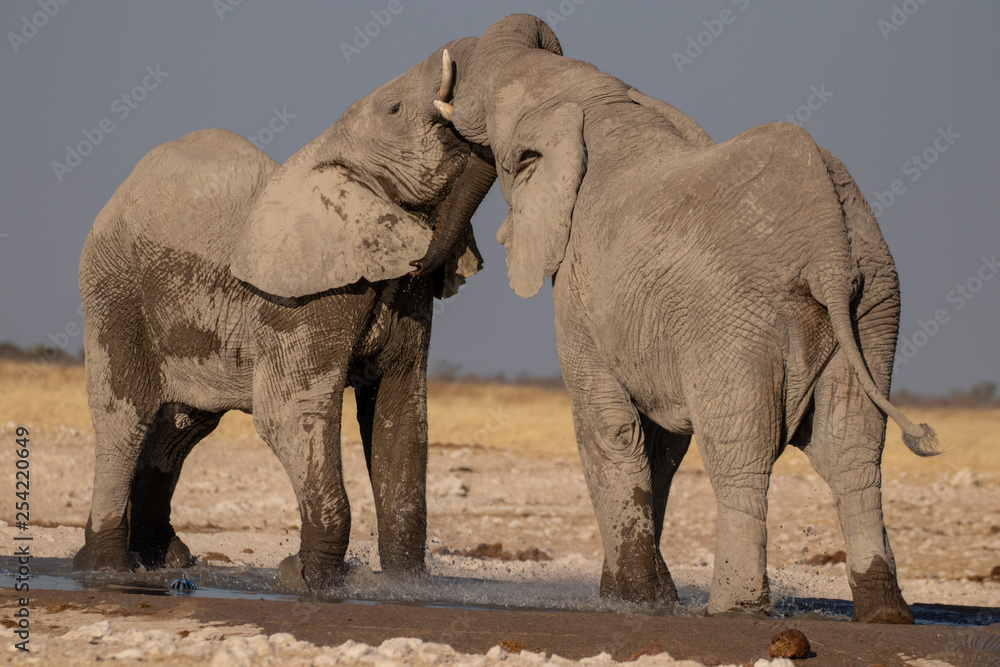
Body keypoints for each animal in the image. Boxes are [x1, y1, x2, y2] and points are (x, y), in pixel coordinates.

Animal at [73, 37, 500, 592]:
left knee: (182, 427)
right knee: (123, 418)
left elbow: (401, 418)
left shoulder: (408, 297)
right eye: (394, 109)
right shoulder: (302, 301)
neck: (332, 151)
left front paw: (404, 587)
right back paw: (105, 568)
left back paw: (162, 560)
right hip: (115, 293)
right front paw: (311, 581)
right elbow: (289, 414)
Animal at [436, 14, 939, 622]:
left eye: (491, 111)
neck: (593, 101)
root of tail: (829, 249)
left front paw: (630, 602)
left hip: (733, 315)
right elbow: (661, 444)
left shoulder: (578, 288)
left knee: (741, 454)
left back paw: (734, 609)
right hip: (873, 307)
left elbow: (610, 429)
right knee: (854, 453)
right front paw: (651, 598)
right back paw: (885, 613)